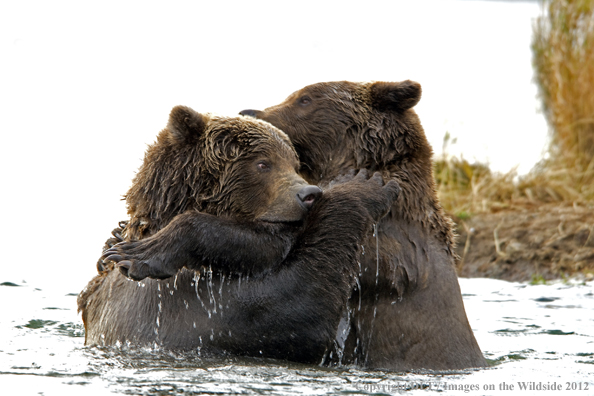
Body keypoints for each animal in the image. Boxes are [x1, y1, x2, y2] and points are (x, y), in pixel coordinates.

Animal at [77, 106, 398, 366]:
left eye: (295, 164)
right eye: (263, 163)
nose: (309, 194)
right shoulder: (193, 302)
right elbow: (296, 313)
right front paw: (362, 183)